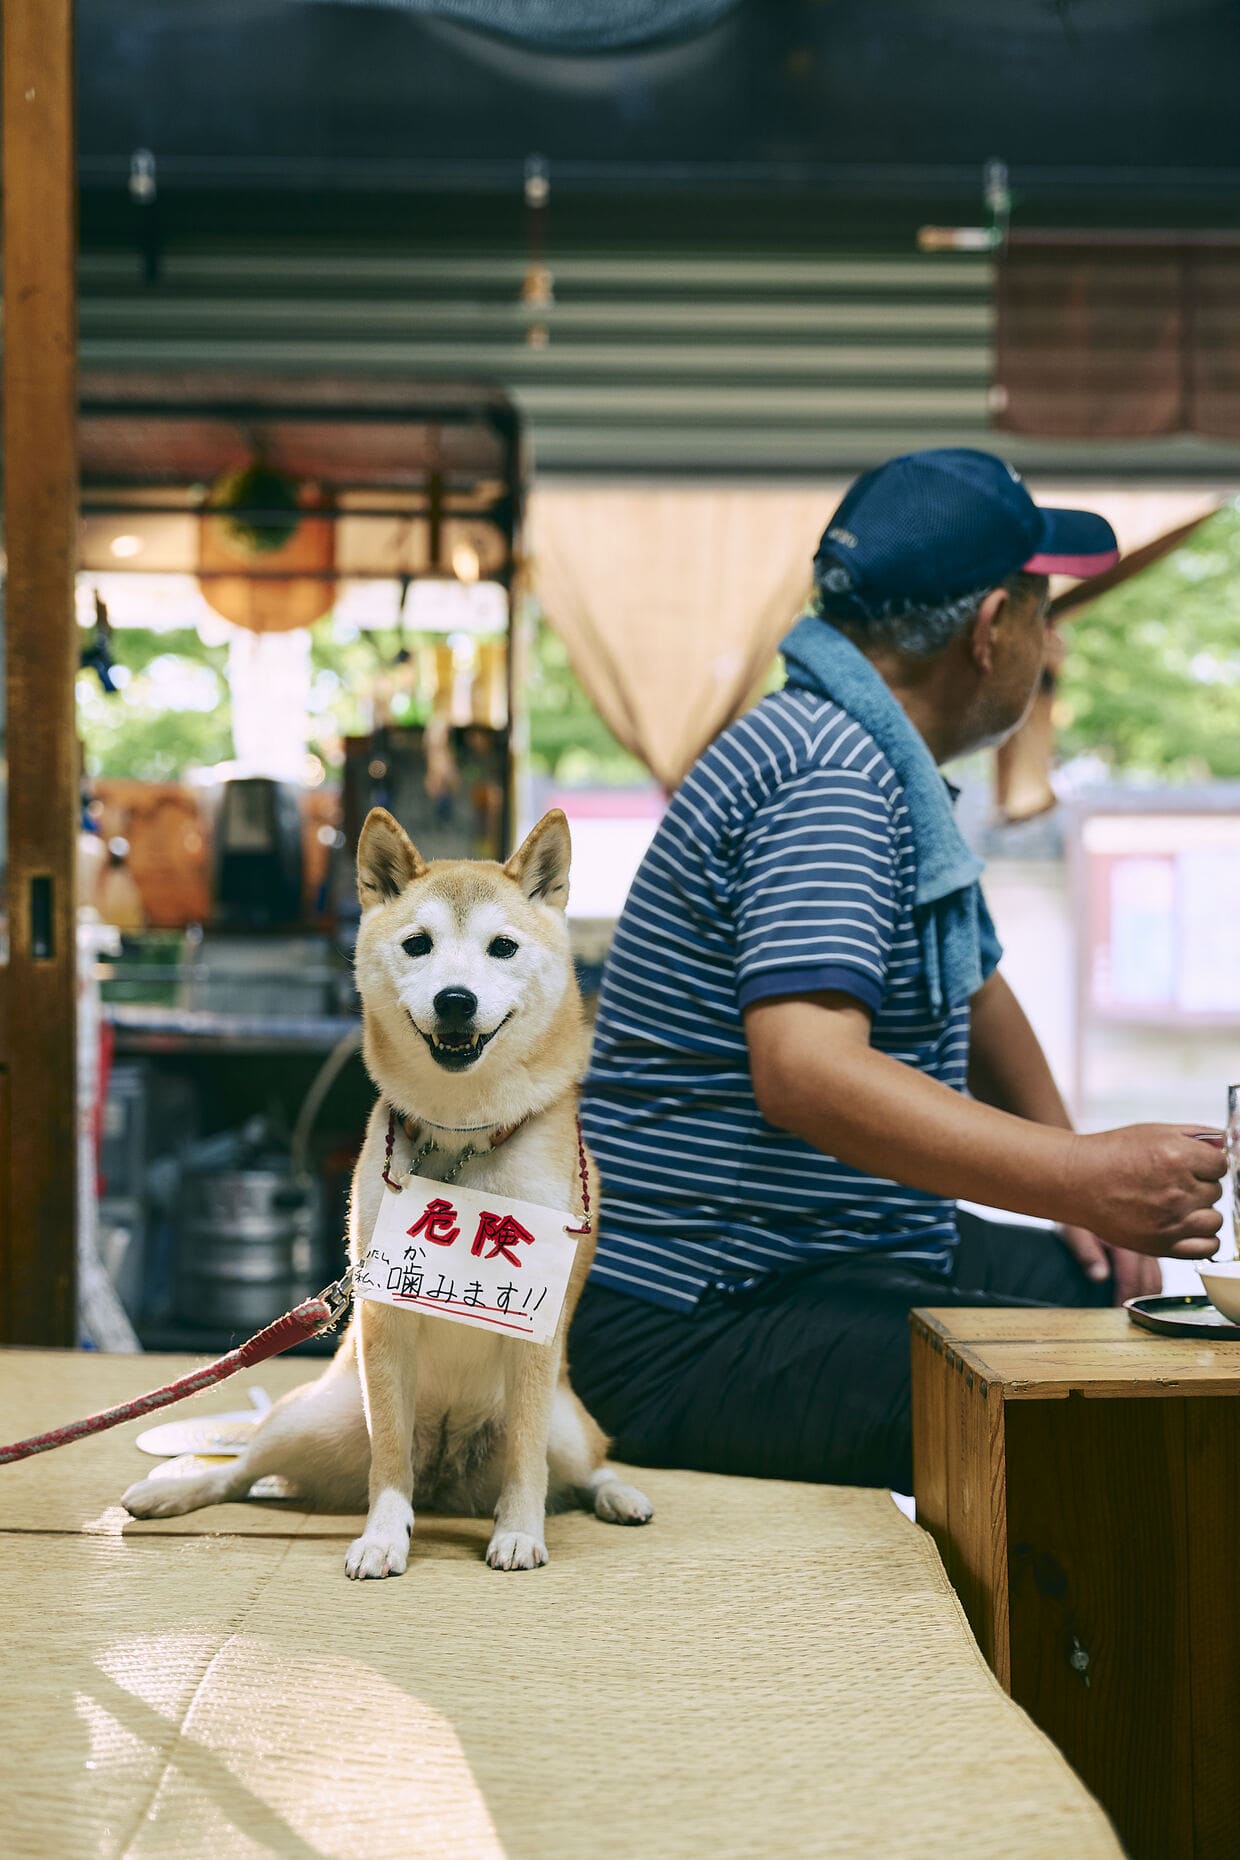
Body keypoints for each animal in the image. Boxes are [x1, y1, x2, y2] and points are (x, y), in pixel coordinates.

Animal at [120, 807, 654, 1577]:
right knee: (246, 1468)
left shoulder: (535, 1330)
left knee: (586, 1468)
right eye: (417, 945)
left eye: (502, 948)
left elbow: (527, 1462)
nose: (455, 999)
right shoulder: (384, 1323)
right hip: (317, 1418)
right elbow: (389, 1461)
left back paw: (620, 1496)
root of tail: (448, 1480)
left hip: (567, 1426)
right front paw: (382, 1535)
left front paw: (520, 1531)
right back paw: (170, 1491)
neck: (462, 1140)